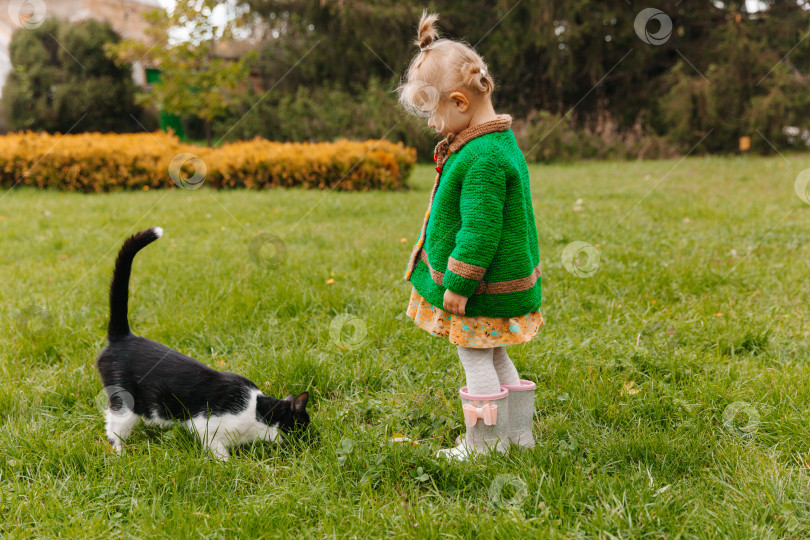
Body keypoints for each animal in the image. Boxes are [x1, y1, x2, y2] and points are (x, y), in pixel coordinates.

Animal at [94, 228, 308, 460]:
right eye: (303, 425)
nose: (311, 440)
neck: (257, 412)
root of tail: (123, 336)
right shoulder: (206, 426)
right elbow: (217, 448)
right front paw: (227, 464)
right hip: (125, 402)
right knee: (114, 428)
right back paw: (119, 453)